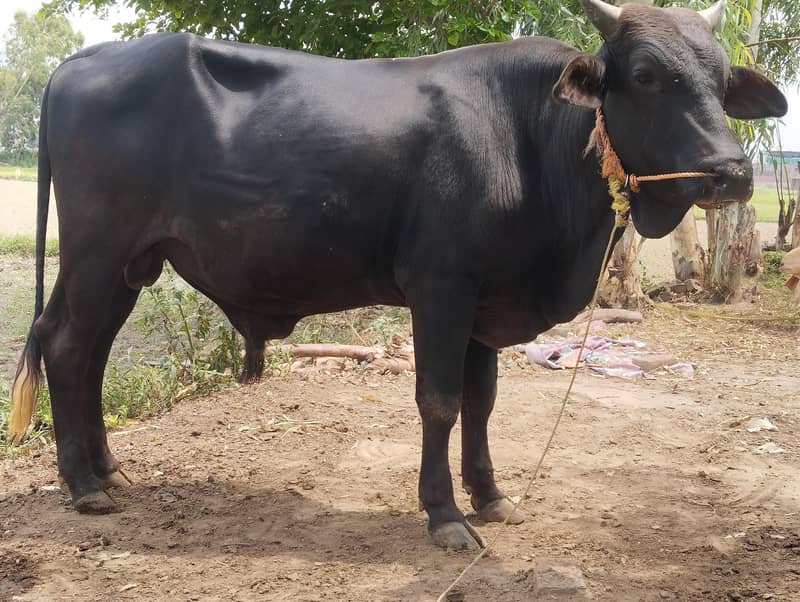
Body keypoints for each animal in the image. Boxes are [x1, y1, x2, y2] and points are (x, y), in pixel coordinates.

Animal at [7, 0, 787, 551]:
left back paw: (108, 469)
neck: (530, 137)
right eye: (647, 75)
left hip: (128, 265)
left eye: (722, 81)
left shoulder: (486, 303)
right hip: (98, 253)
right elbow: (439, 401)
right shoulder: (441, 287)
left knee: (86, 351)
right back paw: (84, 485)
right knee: (68, 347)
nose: (731, 172)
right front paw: (444, 514)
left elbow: (482, 402)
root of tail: (84, 60)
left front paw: (491, 496)